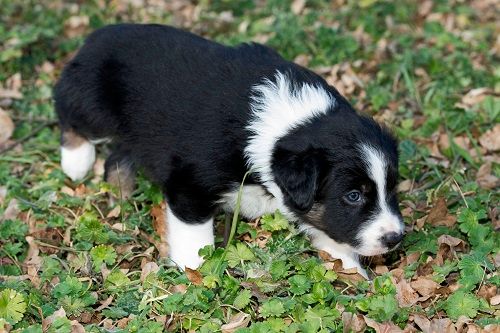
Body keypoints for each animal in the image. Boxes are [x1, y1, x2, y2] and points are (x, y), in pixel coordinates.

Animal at [54, 24, 404, 278]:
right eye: (353, 196)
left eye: (392, 188)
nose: (395, 238)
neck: (288, 124)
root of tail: (96, 35)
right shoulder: (188, 184)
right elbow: (195, 234)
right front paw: (196, 271)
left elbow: (326, 226)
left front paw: (352, 271)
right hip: (95, 107)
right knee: (69, 112)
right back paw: (77, 161)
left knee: (118, 155)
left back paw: (121, 189)